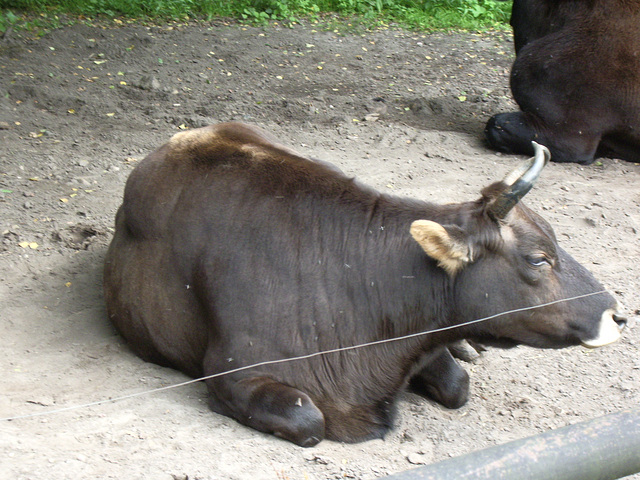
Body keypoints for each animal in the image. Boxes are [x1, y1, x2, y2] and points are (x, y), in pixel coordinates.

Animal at [104, 123, 624, 446]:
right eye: (539, 258)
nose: (617, 313)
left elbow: (457, 385)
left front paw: (460, 355)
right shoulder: (233, 372)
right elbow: (309, 420)